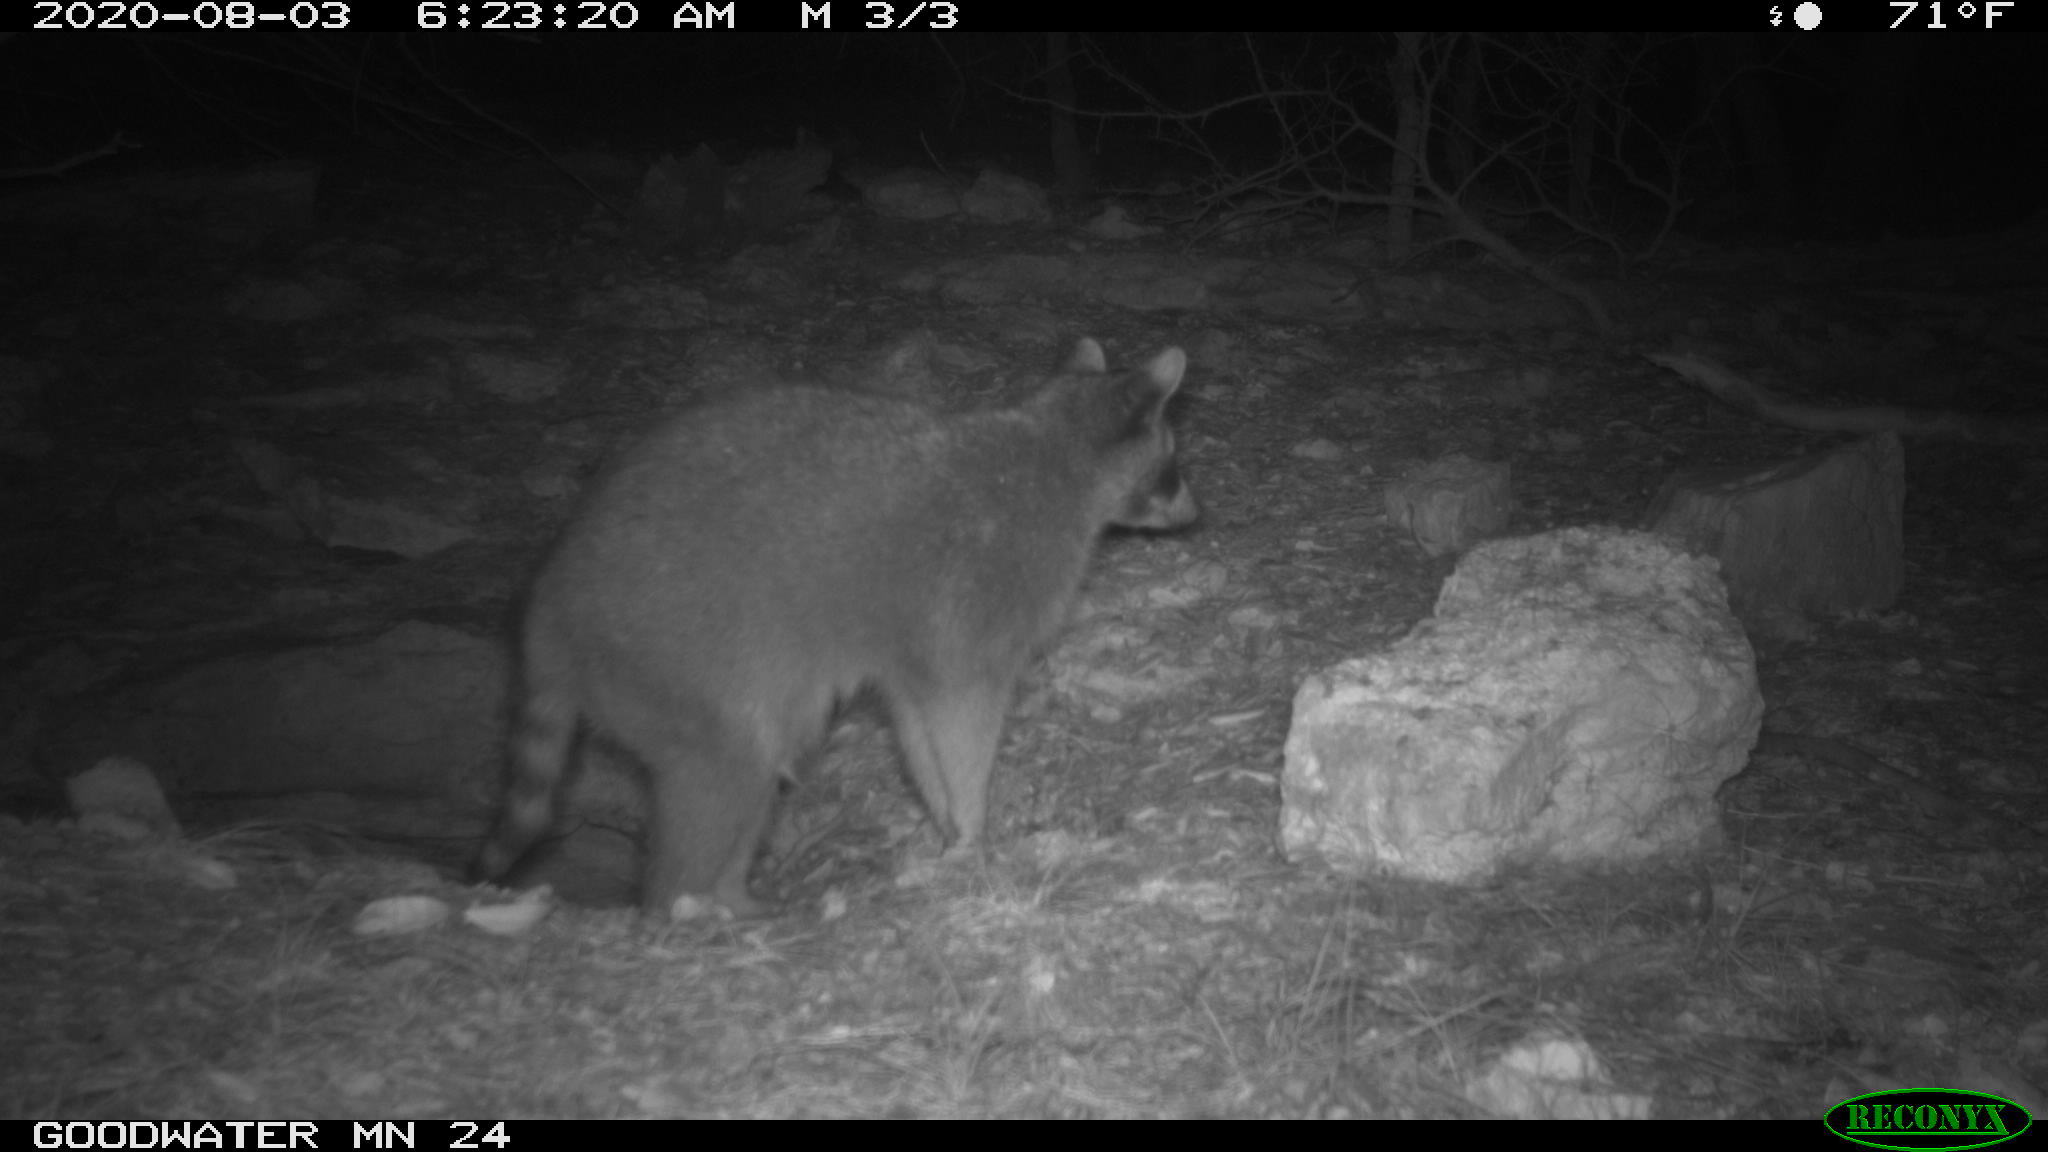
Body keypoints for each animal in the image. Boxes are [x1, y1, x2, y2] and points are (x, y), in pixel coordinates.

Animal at [471, 338, 1195, 918]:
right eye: (1172, 459)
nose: (1198, 511)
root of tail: (550, 606)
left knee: (762, 772)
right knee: (726, 773)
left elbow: (919, 731)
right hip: (673, 658)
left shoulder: (915, 652)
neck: (1055, 445)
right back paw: (685, 906)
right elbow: (964, 727)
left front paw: (945, 818)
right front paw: (973, 823)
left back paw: (733, 894)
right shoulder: (974, 604)